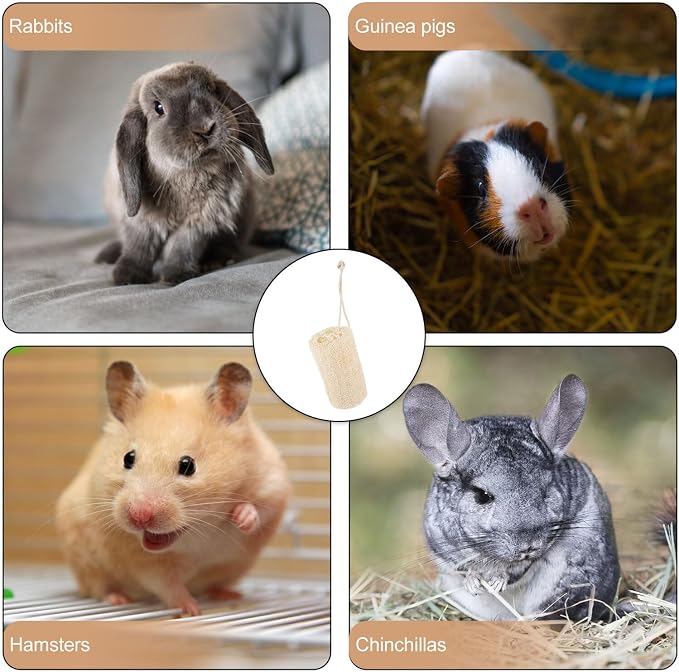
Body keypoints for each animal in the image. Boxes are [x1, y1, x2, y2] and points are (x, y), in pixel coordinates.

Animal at [56, 361, 290, 615]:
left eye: (188, 465)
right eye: (128, 458)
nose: (139, 517)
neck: (197, 531)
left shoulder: (272, 484)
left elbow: (260, 509)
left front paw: (241, 518)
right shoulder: (148, 562)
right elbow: (169, 586)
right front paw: (193, 609)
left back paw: (229, 594)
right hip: (86, 562)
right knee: (98, 588)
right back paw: (118, 598)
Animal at [98, 62, 274, 286]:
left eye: (212, 90)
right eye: (158, 107)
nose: (205, 128)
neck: (186, 175)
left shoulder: (199, 220)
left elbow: (183, 246)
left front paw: (176, 275)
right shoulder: (141, 220)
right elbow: (139, 245)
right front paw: (126, 276)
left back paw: (218, 259)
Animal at [403, 374, 620, 621]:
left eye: (546, 491)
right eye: (482, 496)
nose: (528, 547)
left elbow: (516, 571)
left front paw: (497, 582)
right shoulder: (443, 545)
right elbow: (464, 569)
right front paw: (474, 583)